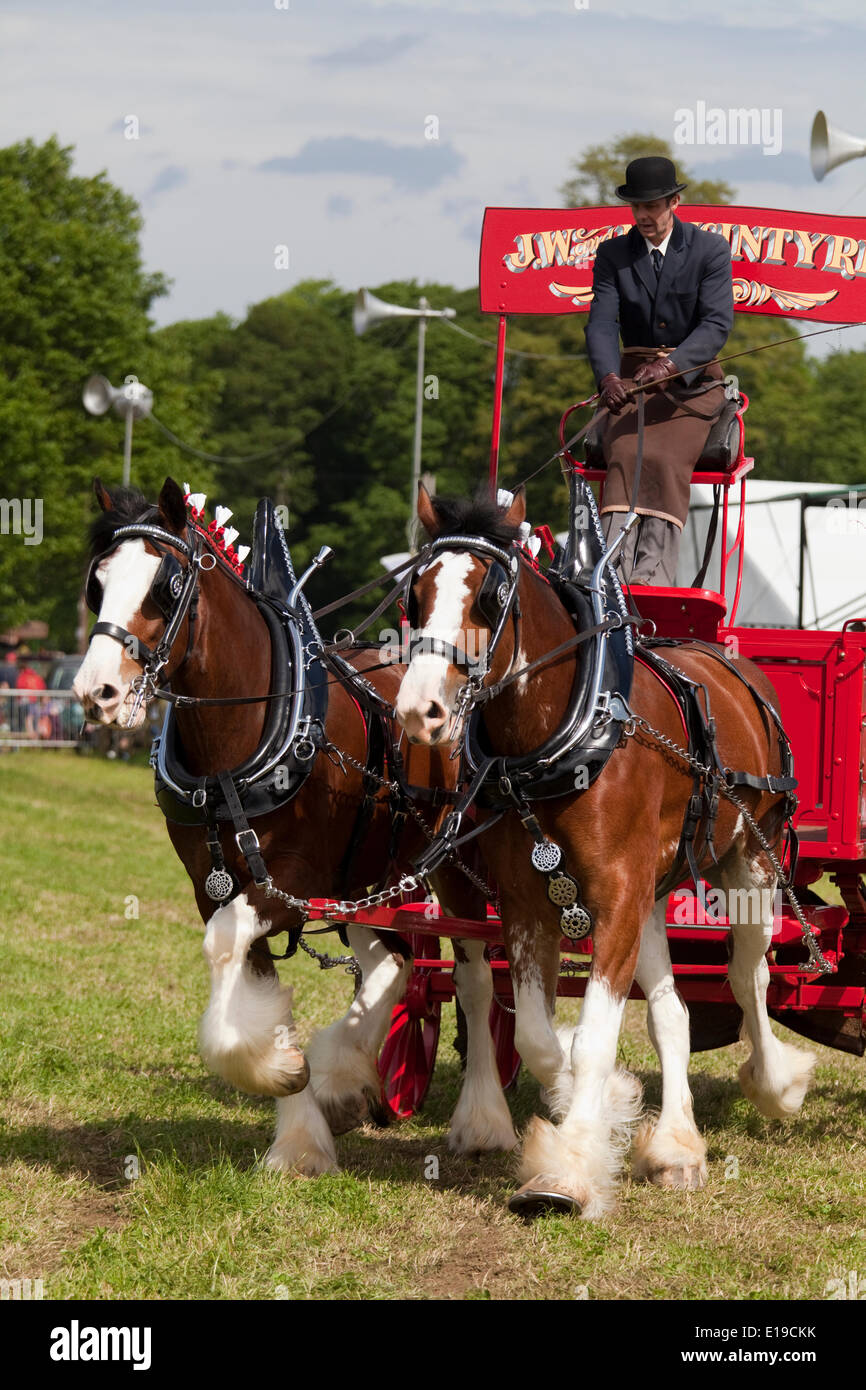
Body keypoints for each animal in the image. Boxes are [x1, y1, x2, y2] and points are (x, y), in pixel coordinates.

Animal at [72, 478, 522, 1173]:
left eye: (164, 587)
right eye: (98, 582)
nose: (96, 692)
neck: (235, 746)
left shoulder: (290, 882)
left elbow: (226, 945)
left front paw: (284, 1076)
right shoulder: (217, 885)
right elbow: (241, 962)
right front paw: (294, 1102)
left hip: (454, 867)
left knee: (473, 980)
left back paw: (481, 1120)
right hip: (370, 874)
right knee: (395, 963)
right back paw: (348, 1075)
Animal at [397, 486, 817, 1217]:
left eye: (489, 599)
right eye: (413, 596)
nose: (419, 711)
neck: (563, 739)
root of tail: (737, 664)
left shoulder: (617, 895)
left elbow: (595, 1037)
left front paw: (566, 1173)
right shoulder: (528, 902)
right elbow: (541, 1038)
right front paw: (594, 1108)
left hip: (751, 863)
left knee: (748, 975)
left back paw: (773, 1083)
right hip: (651, 893)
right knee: (672, 1012)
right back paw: (676, 1144)